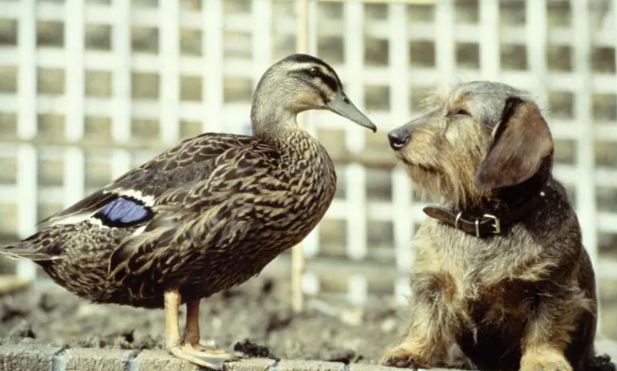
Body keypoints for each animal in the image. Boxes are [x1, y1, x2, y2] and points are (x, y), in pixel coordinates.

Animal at [380, 82, 612, 371]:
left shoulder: (552, 287)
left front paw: (543, 360)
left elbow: (546, 329)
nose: (393, 136)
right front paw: (411, 350)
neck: (483, 223)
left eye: (461, 112)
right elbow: (425, 318)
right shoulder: (432, 281)